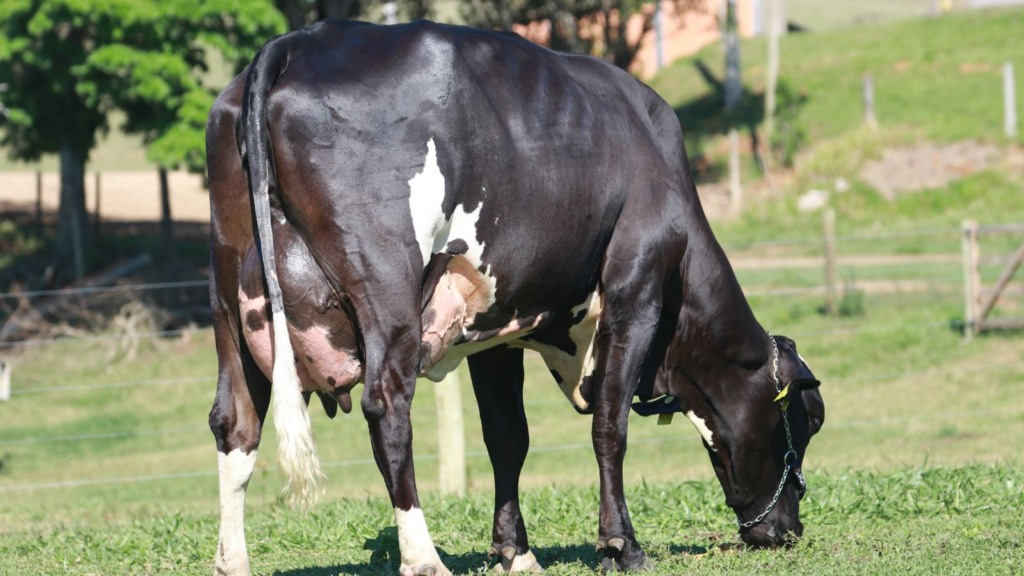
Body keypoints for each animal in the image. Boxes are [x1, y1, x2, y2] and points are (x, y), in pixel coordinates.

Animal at [205, 17, 823, 573]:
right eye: (808, 419)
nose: (787, 531)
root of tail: (300, 43)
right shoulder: (635, 289)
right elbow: (610, 426)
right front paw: (621, 545)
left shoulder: (494, 328)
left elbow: (508, 438)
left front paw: (514, 552)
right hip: (385, 287)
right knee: (386, 405)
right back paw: (424, 558)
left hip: (230, 300)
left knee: (234, 422)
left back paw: (233, 562)